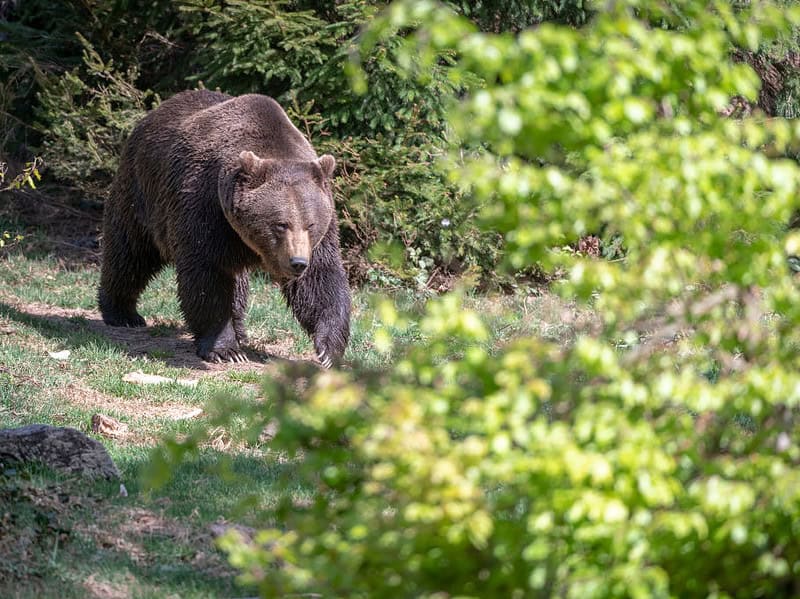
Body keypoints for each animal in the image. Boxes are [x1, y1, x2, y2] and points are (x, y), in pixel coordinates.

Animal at [97, 91, 350, 368]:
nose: (297, 263)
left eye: (310, 224)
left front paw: (329, 351)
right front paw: (225, 349)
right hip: (142, 193)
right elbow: (207, 276)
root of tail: (152, 114)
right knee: (129, 253)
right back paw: (122, 313)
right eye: (280, 224)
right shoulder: (205, 208)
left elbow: (320, 281)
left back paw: (240, 330)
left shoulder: (321, 234)